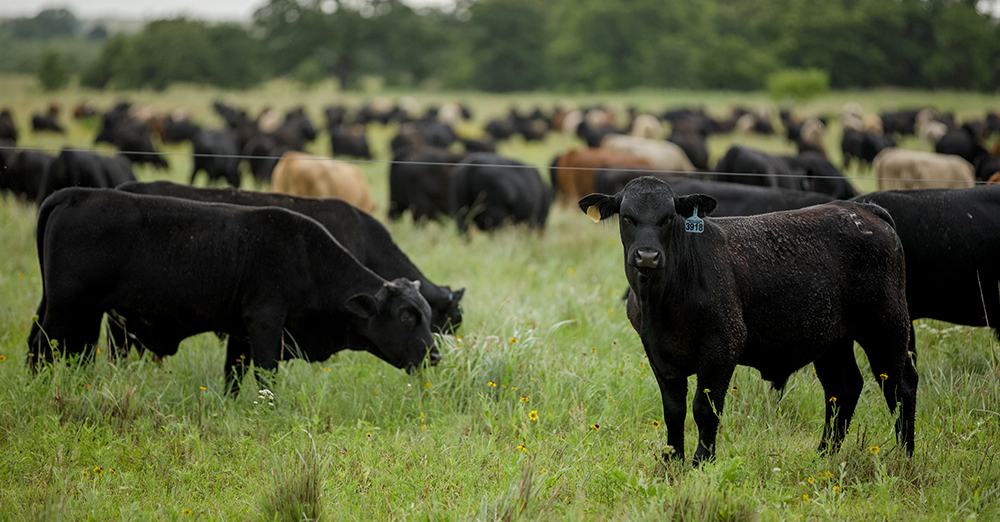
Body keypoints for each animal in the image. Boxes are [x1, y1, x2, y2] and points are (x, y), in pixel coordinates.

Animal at [584, 177, 916, 462]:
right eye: (627, 217)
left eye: (668, 217)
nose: (647, 256)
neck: (661, 302)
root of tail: (862, 210)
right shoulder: (658, 352)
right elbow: (673, 411)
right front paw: (672, 461)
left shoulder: (723, 344)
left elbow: (705, 408)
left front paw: (701, 461)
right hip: (832, 341)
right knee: (843, 389)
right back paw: (823, 456)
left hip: (886, 326)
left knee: (901, 385)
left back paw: (905, 456)